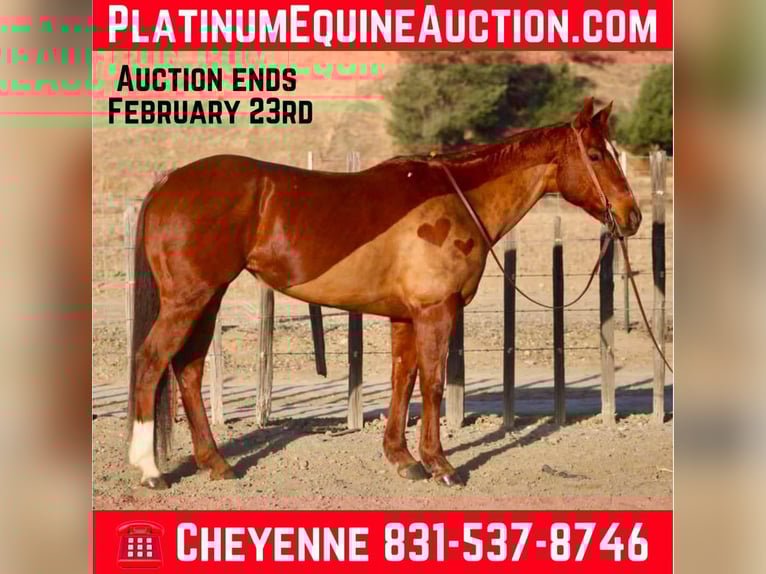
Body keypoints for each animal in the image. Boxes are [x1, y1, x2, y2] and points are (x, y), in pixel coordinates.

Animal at [126, 97, 641, 489]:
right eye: (596, 155)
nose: (631, 215)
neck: (456, 198)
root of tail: (168, 183)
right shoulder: (436, 311)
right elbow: (432, 384)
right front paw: (440, 464)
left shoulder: (406, 316)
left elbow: (403, 379)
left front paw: (402, 458)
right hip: (189, 299)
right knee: (152, 361)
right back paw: (150, 469)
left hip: (207, 299)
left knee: (187, 370)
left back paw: (216, 463)